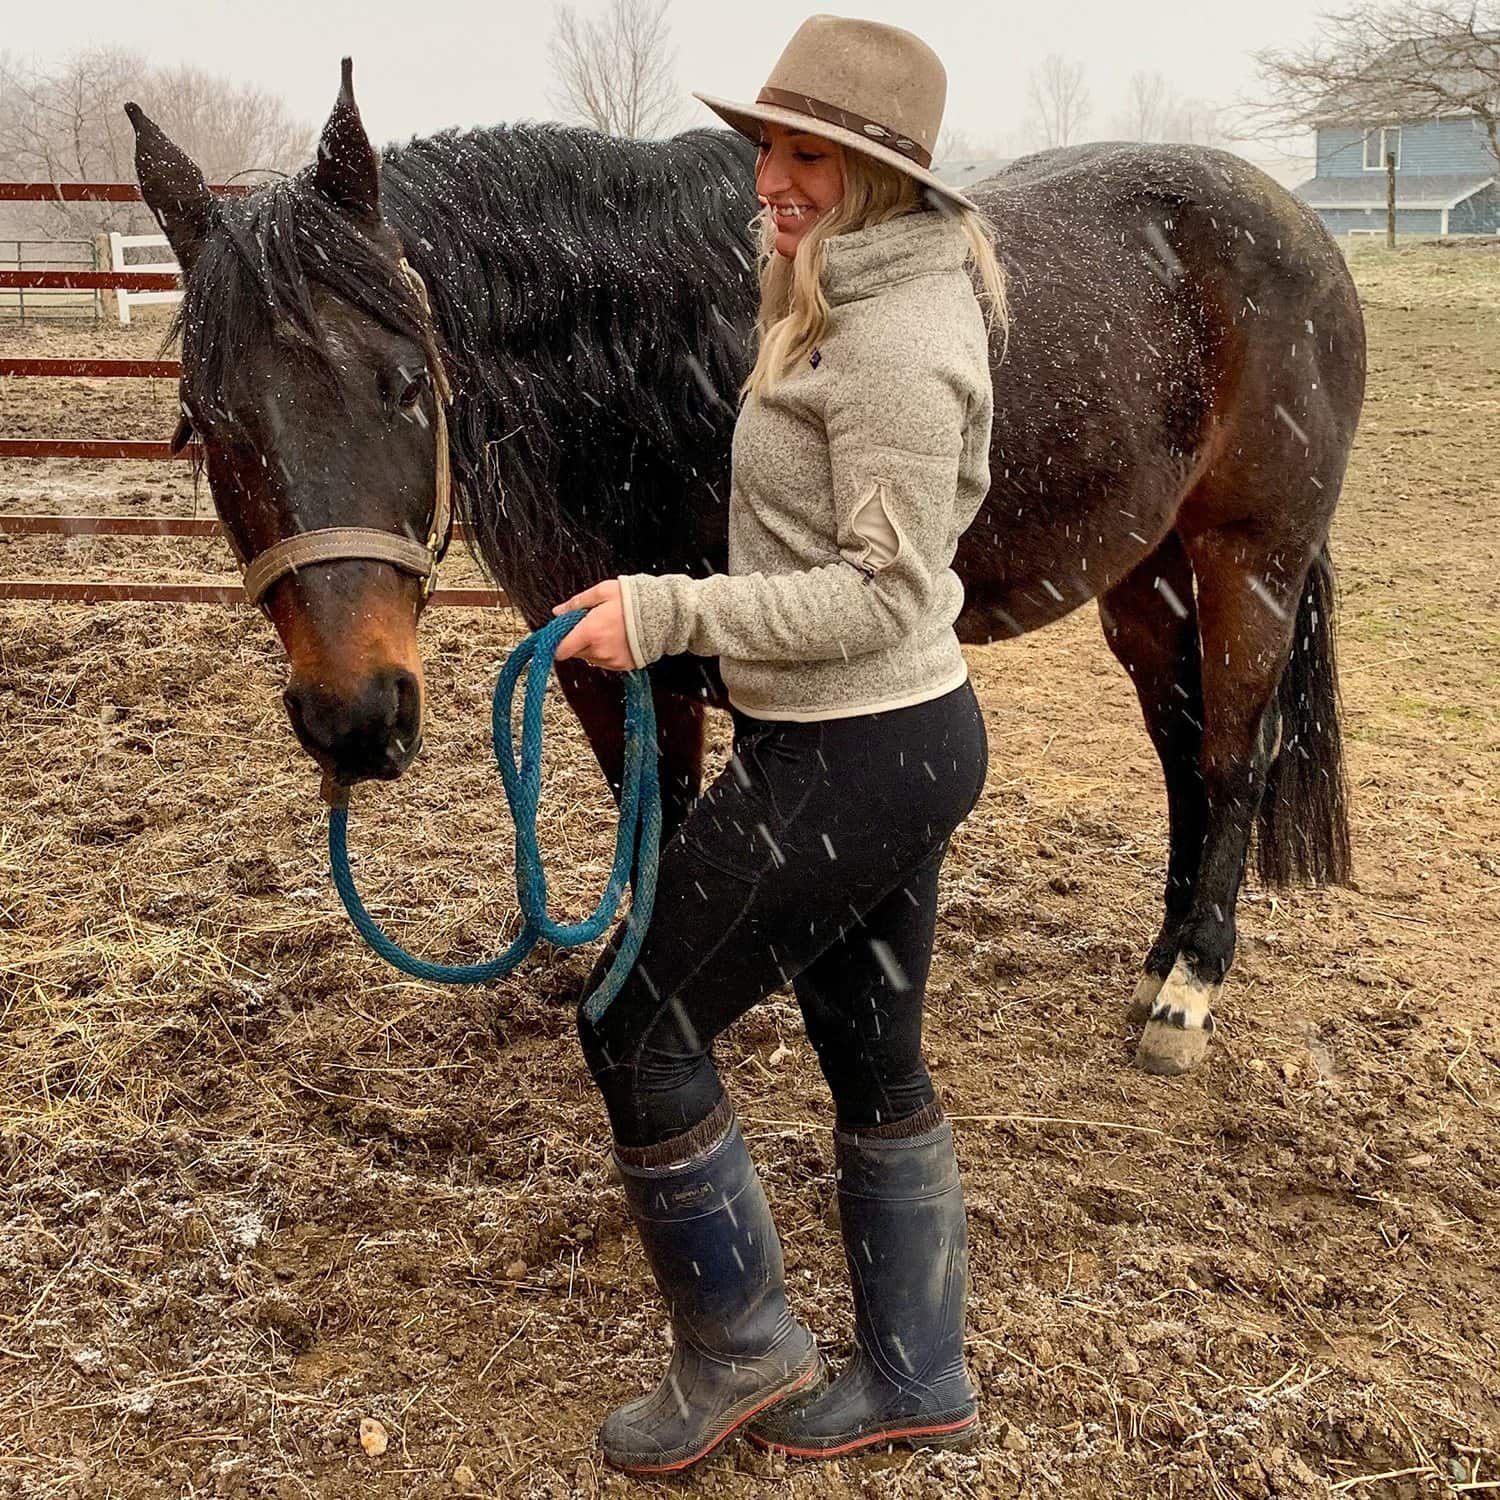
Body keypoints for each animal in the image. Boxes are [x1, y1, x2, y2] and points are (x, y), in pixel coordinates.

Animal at [129, 64, 1368, 1074]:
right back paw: (1160, 959)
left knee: (1232, 756)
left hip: (1249, 558)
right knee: (1179, 746)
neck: (643, 367)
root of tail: (1294, 221)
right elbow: (651, 819)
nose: (354, 717)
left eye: (401, 383)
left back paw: (1189, 990)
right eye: (205, 422)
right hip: (1144, 578)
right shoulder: (600, 658)